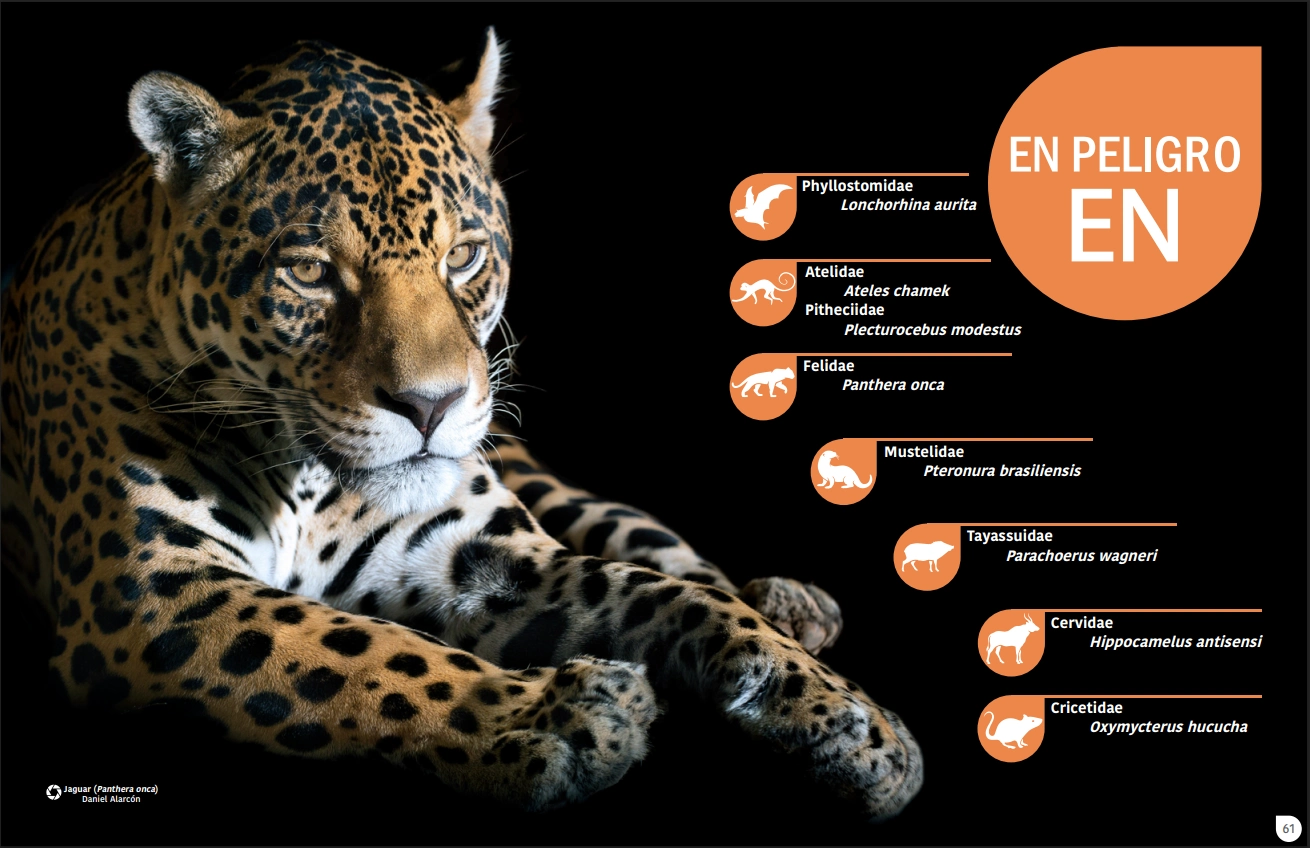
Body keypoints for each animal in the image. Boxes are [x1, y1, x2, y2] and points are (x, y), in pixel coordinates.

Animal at [0, 32, 922, 820]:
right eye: (309, 273)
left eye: (465, 256)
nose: (431, 406)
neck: (310, 482)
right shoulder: (156, 592)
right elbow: (365, 651)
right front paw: (558, 715)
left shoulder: (480, 555)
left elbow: (665, 595)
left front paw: (847, 720)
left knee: (663, 549)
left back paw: (789, 606)